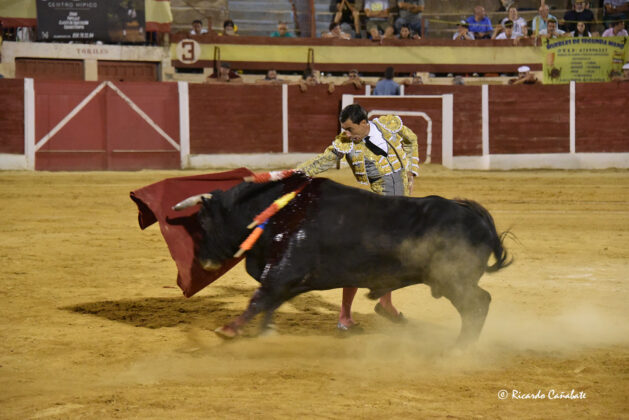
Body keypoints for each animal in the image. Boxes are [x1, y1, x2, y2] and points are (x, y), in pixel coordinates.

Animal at [174, 173, 511, 345]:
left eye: (203, 222)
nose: (204, 261)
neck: (277, 210)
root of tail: (479, 220)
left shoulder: (284, 271)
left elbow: (260, 298)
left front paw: (229, 329)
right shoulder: (290, 280)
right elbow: (270, 302)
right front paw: (266, 332)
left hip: (454, 280)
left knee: (478, 304)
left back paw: (461, 347)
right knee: (479, 303)